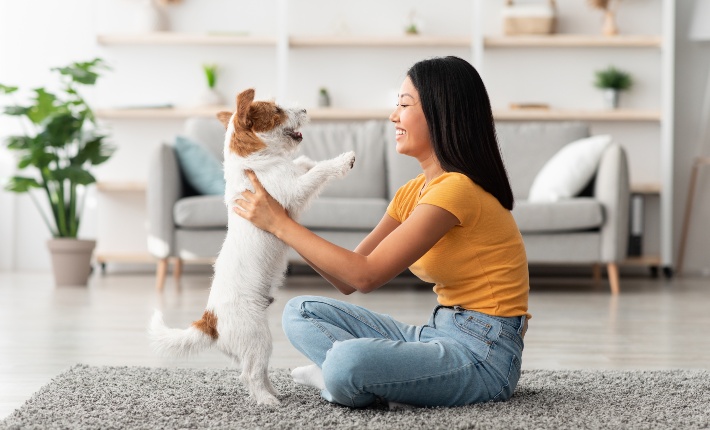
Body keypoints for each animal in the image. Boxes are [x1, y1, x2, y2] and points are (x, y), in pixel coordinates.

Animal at [151, 88, 358, 406]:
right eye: (276, 110)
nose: (306, 109)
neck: (254, 161)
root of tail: (211, 320)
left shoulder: (290, 174)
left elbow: (303, 163)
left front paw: (308, 160)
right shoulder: (293, 192)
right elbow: (315, 173)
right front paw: (342, 160)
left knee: (254, 371)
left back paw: (274, 392)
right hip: (258, 337)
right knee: (250, 374)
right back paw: (268, 401)